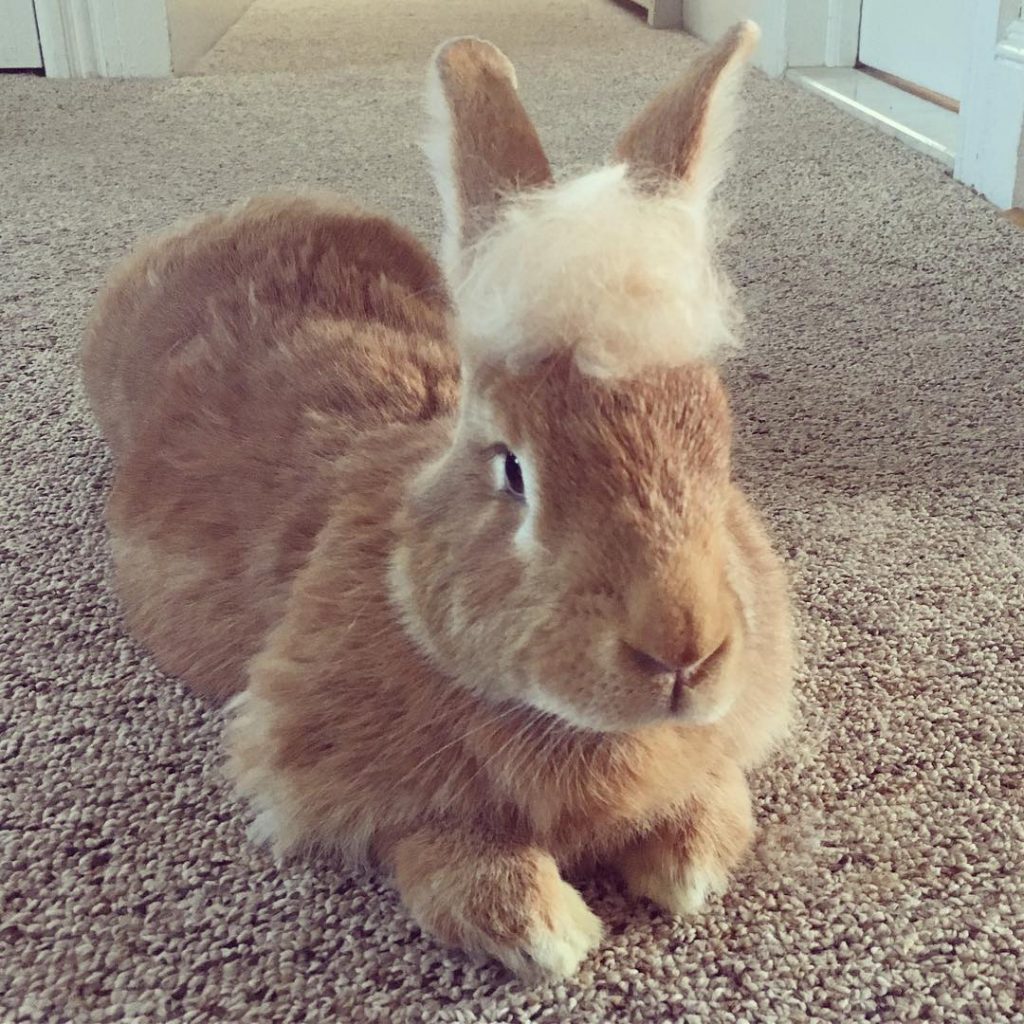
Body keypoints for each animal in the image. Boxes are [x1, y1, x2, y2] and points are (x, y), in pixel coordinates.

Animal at [83, 19, 794, 978]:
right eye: (515, 471)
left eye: (717, 446)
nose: (683, 650)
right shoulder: (324, 764)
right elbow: (427, 839)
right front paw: (547, 930)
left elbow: (713, 793)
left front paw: (689, 864)